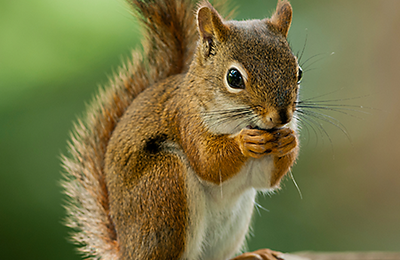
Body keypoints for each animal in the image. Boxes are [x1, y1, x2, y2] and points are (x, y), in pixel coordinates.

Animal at [61, 0, 300, 258]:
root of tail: (126, 249)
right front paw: (244, 141)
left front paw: (289, 140)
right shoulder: (186, 120)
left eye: (298, 72)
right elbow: (208, 162)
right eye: (234, 77)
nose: (282, 116)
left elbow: (266, 179)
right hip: (165, 185)